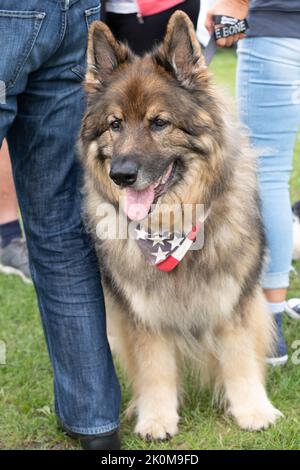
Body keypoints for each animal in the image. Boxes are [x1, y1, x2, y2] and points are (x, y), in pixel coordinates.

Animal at [79, 11, 282, 440]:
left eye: (159, 123)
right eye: (115, 124)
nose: (122, 175)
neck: (172, 228)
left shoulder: (233, 298)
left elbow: (240, 356)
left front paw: (252, 409)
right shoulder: (142, 311)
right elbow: (154, 367)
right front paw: (157, 417)